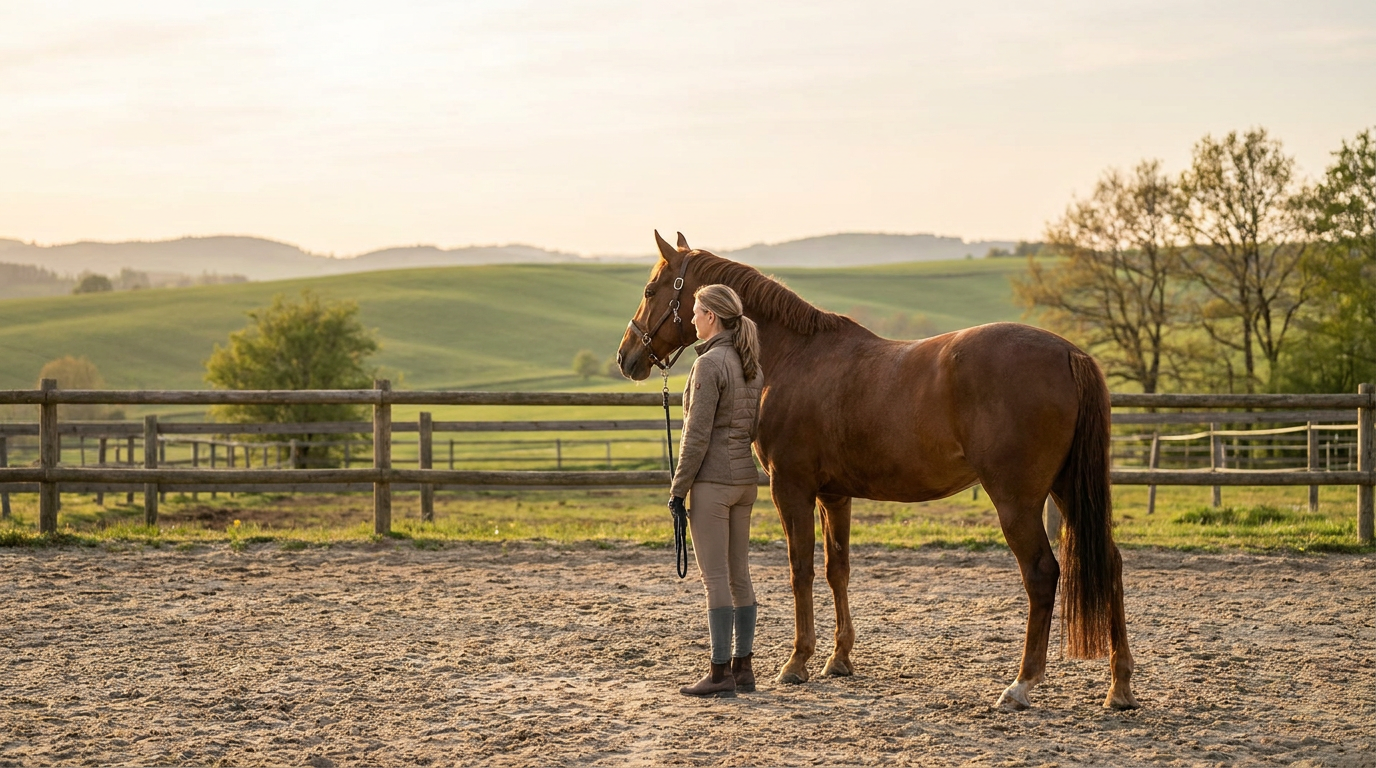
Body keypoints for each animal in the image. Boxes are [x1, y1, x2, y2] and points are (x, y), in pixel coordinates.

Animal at [616, 231, 1139, 711]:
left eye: (650, 290)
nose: (626, 357)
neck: (794, 357)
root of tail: (1070, 353)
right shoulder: (834, 495)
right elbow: (838, 570)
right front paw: (839, 659)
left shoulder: (792, 488)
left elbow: (801, 570)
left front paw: (797, 662)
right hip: (1067, 490)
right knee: (1110, 564)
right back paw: (1119, 687)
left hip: (1018, 500)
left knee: (1042, 575)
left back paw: (1021, 685)